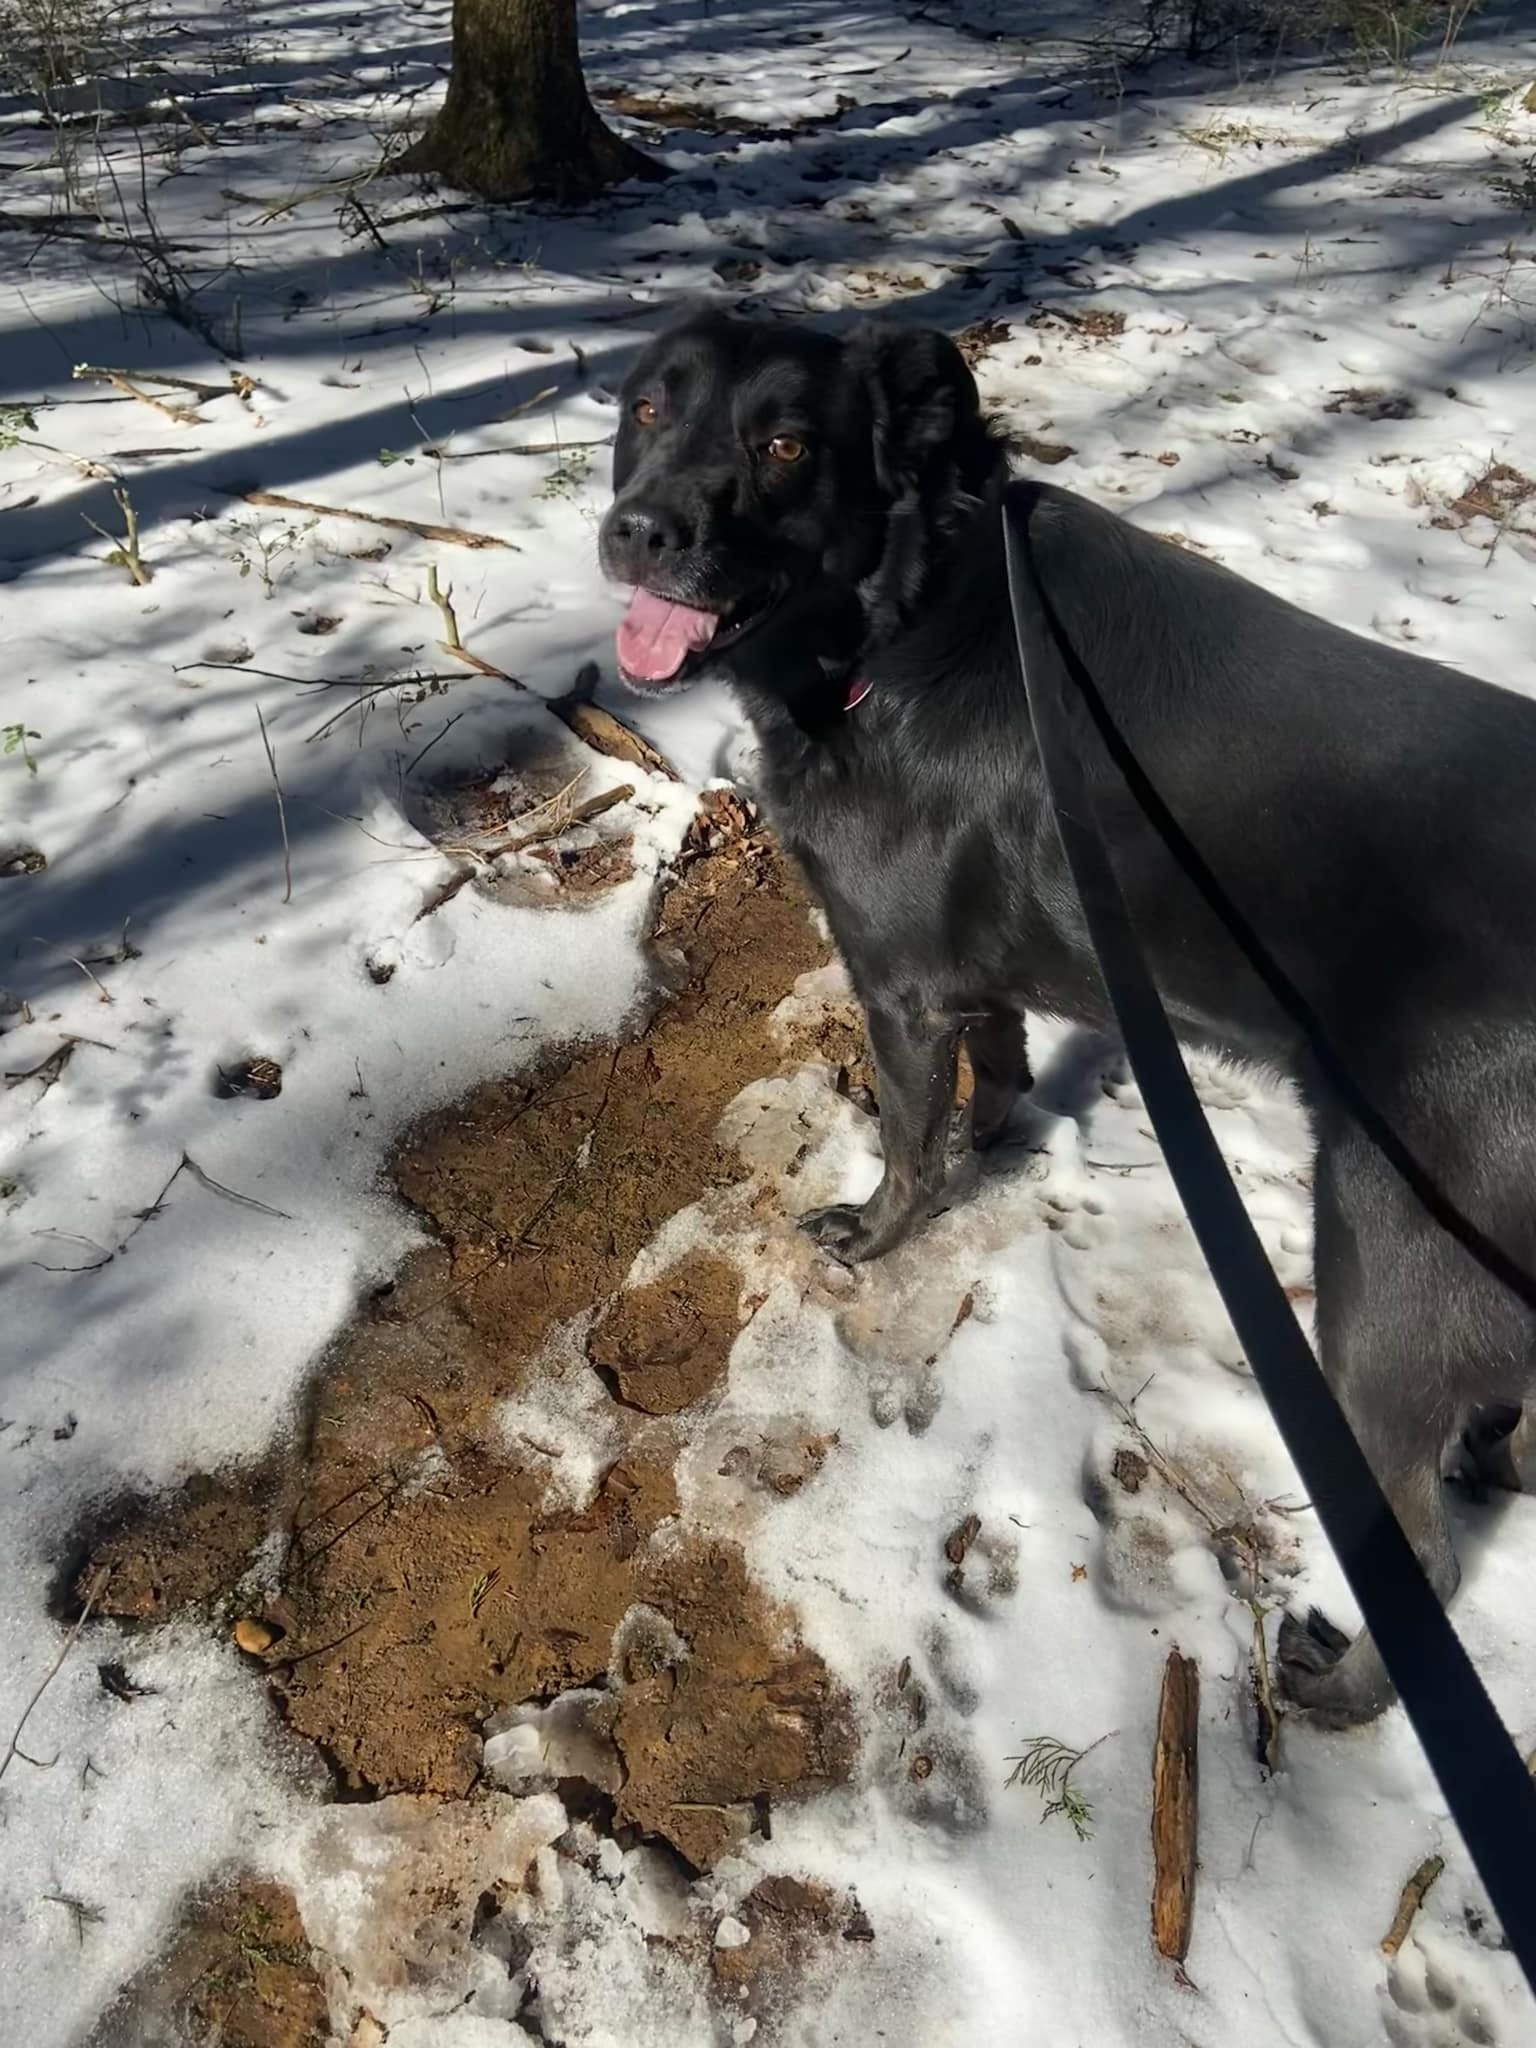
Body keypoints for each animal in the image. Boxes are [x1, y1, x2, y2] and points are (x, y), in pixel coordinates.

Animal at [598, 307, 1536, 1728]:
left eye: (787, 445)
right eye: (648, 408)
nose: (639, 531)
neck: (900, 627)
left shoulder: (898, 983)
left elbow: (908, 1143)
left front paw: (873, 1232)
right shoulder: (971, 974)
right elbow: (999, 1064)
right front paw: (996, 1142)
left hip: (1388, 1268)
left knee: (1417, 1550)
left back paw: (1340, 1689)